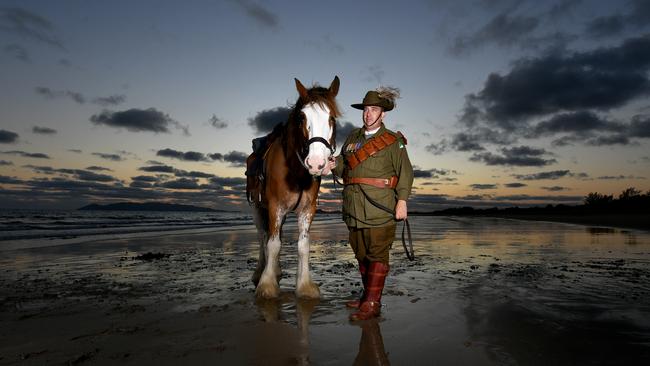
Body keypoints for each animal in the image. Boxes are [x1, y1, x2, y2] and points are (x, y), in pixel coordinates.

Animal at [247, 76, 340, 298]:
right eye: (302, 118)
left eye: (332, 118)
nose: (316, 163)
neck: (296, 171)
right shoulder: (275, 207)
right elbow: (273, 244)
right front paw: (267, 285)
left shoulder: (307, 209)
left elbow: (303, 245)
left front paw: (304, 285)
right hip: (257, 208)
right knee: (263, 237)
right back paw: (260, 272)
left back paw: (276, 270)